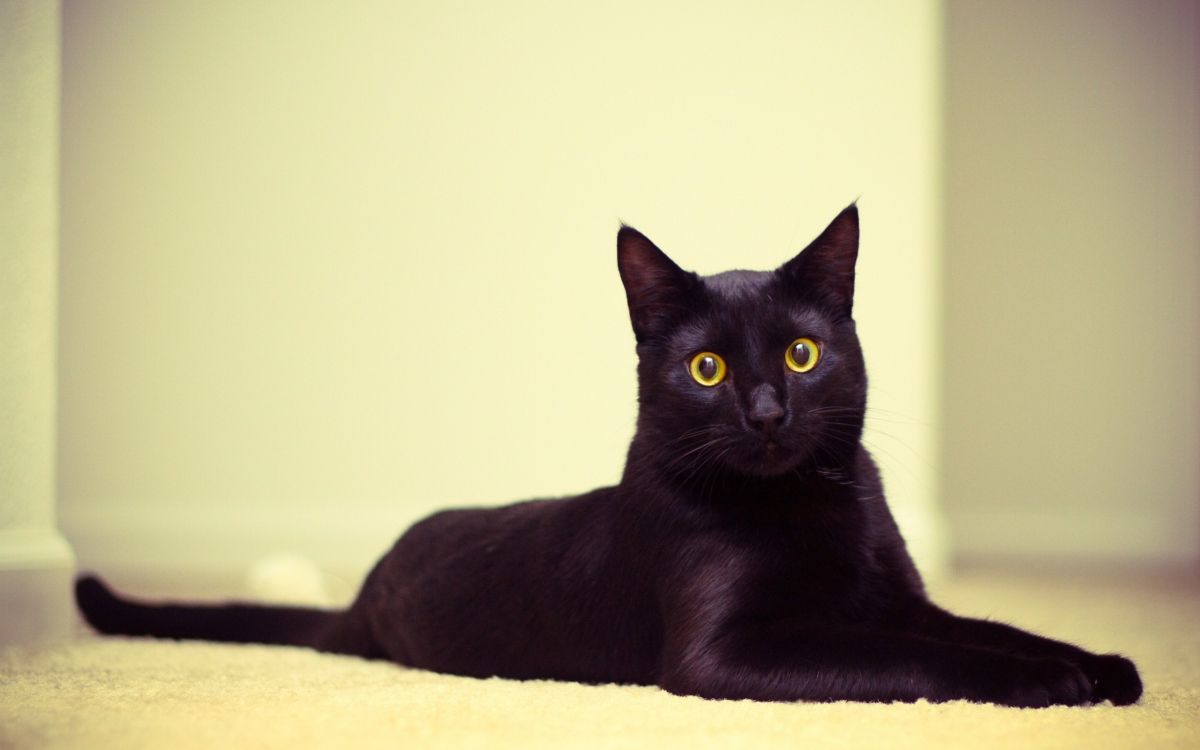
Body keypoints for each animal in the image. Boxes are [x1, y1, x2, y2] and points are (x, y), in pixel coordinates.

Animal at [75, 207, 1142, 705]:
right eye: (708, 367)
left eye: (802, 354)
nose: (766, 411)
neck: (807, 507)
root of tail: (362, 596)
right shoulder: (723, 652)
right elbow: (909, 655)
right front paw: (1047, 688)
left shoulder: (900, 598)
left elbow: (989, 628)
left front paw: (1100, 666)